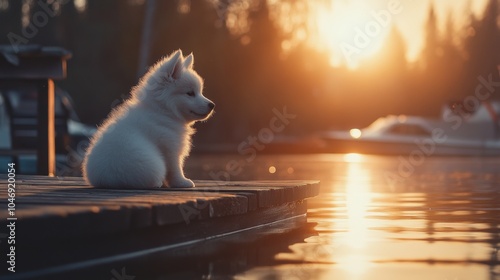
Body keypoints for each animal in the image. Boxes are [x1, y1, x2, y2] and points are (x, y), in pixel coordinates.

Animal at [82, 49, 215, 188]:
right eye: (190, 93)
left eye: (200, 92)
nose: (212, 105)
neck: (163, 111)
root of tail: (112, 180)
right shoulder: (170, 148)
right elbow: (175, 169)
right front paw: (182, 182)